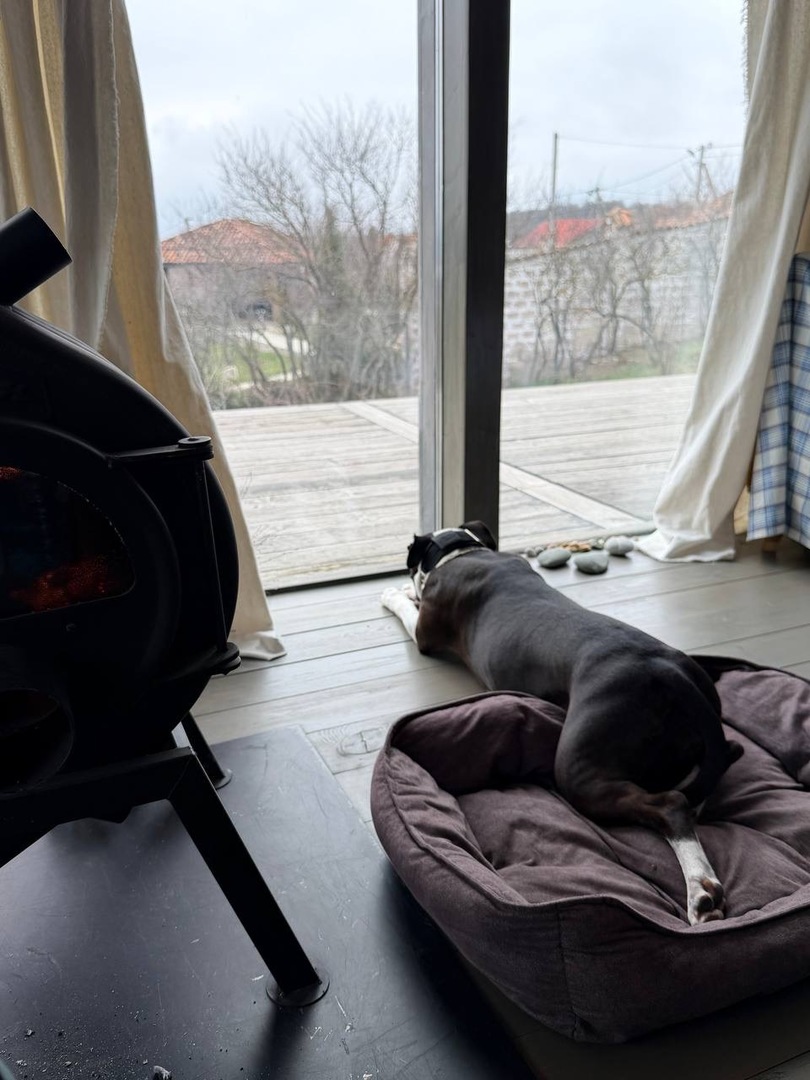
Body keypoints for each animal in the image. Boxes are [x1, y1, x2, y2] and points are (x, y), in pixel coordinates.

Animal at [381, 521, 743, 925]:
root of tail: (672, 677)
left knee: (670, 805)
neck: (460, 551)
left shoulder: (425, 631)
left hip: (579, 769)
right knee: (716, 768)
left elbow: (406, 608)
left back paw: (701, 890)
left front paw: (393, 591)